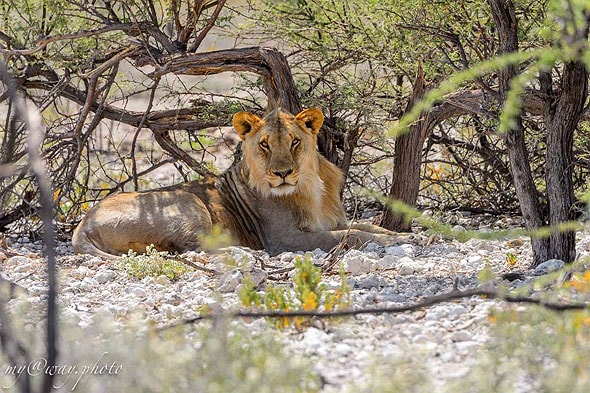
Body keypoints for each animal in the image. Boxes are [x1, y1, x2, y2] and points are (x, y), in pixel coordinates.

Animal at [73, 106, 416, 258]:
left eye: (294, 141)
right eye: (264, 144)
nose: (282, 173)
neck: (310, 186)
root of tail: (82, 225)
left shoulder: (331, 220)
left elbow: (364, 226)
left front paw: (404, 236)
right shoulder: (284, 240)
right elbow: (352, 236)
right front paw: (397, 242)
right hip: (188, 203)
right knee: (196, 249)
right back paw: (247, 253)